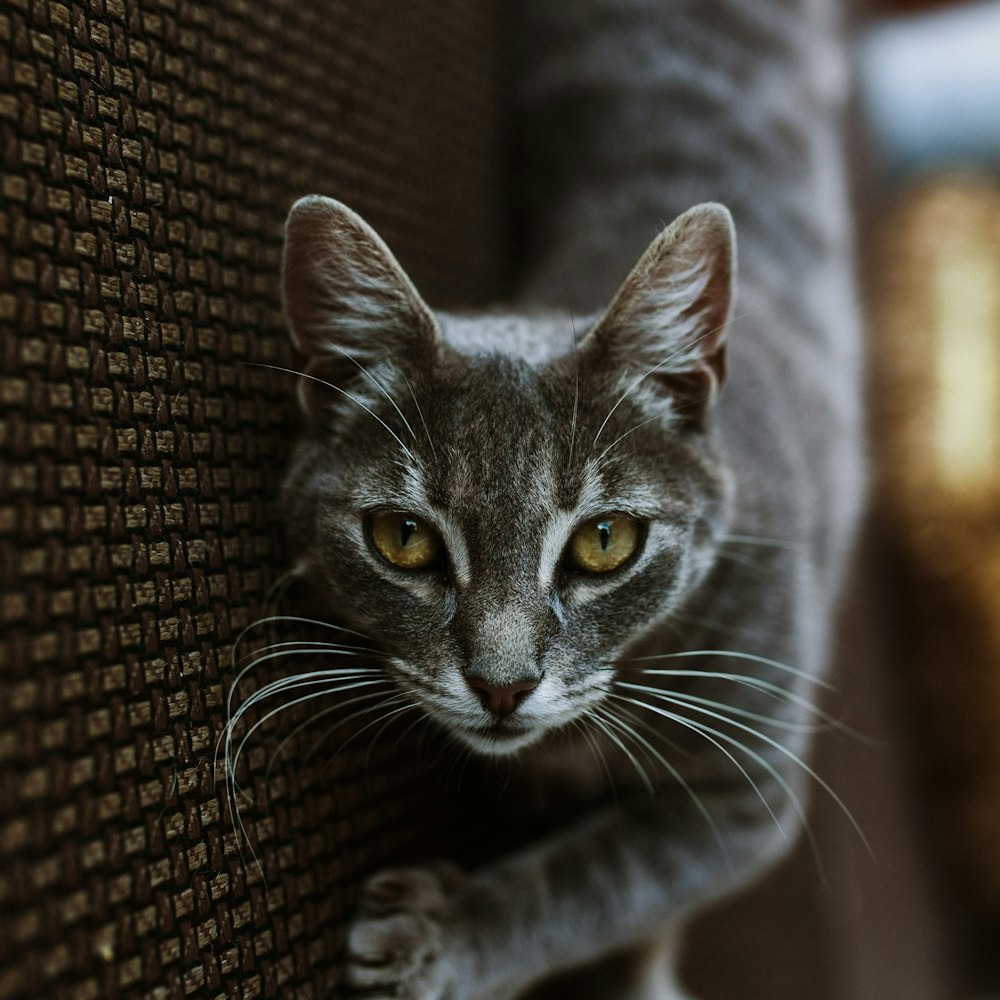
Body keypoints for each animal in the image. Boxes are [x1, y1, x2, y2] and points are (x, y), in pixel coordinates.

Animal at [278, 0, 864, 996]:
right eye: (403, 537)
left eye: (605, 541)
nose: (503, 687)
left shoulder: (747, 790)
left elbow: (596, 879)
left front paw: (448, 935)